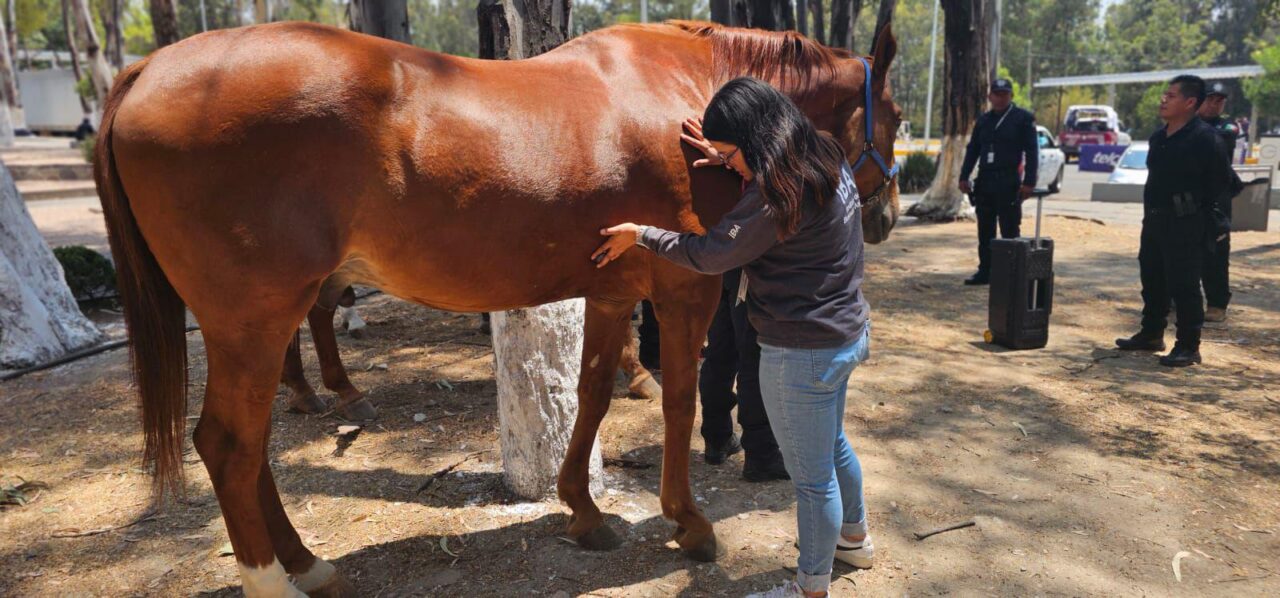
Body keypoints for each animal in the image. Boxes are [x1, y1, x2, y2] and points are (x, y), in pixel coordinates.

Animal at [95, 20, 900, 596]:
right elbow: (679, 400)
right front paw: (690, 523)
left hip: (254, 325)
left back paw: (307, 563)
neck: (688, 97)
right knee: (230, 444)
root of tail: (145, 72)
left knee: (249, 445)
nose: (884, 216)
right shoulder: (685, 290)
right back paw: (274, 580)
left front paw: (583, 512)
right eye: (891, 116)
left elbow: (591, 393)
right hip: (256, 320)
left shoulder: (612, 291)